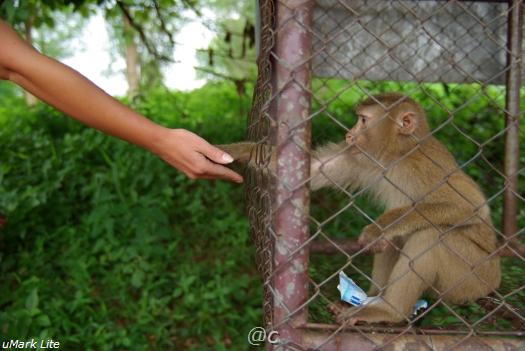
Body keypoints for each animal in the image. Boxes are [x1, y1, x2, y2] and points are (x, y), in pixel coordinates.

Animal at [217, 93, 500, 324]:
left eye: (363, 120)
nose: (349, 135)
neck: (398, 154)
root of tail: (493, 283)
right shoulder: (362, 158)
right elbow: (312, 170)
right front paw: (235, 150)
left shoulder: (424, 165)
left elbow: (470, 206)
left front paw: (377, 230)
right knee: (400, 238)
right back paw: (373, 297)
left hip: (472, 277)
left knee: (431, 235)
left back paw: (389, 310)